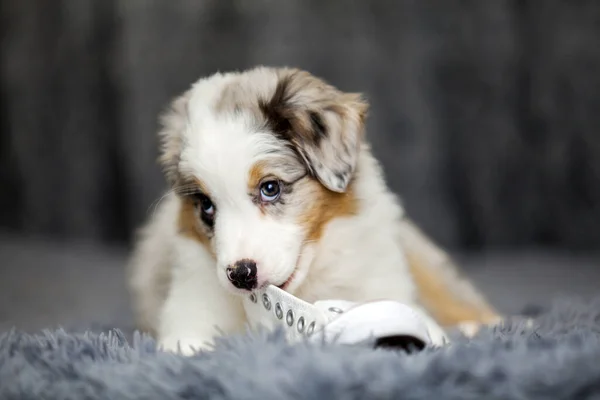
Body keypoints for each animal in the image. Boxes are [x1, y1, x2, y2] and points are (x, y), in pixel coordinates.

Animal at [127, 66, 502, 354]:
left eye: (270, 188)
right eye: (206, 206)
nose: (240, 275)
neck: (304, 290)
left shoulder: (384, 285)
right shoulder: (191, 306)